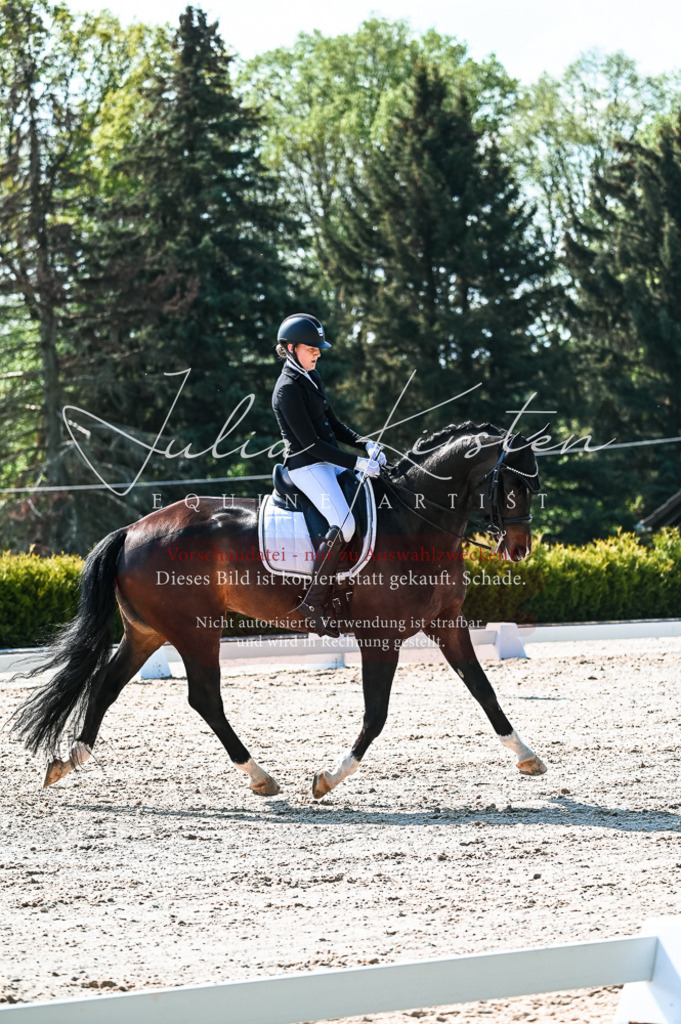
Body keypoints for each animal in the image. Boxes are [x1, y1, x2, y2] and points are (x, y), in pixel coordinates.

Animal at [11, 421, 547, 799]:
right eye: (511, 484)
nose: (519, 548)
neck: (414, 521)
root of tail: (132, 530)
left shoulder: (447, 624)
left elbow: (484, 690)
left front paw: (528, 756)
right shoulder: (379, 636)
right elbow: (376, 715)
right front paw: (328, 779)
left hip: (147, 632)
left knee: (107, 684)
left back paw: (68, 760)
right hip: (196, 629)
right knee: (204, 699)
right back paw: (260, 776)